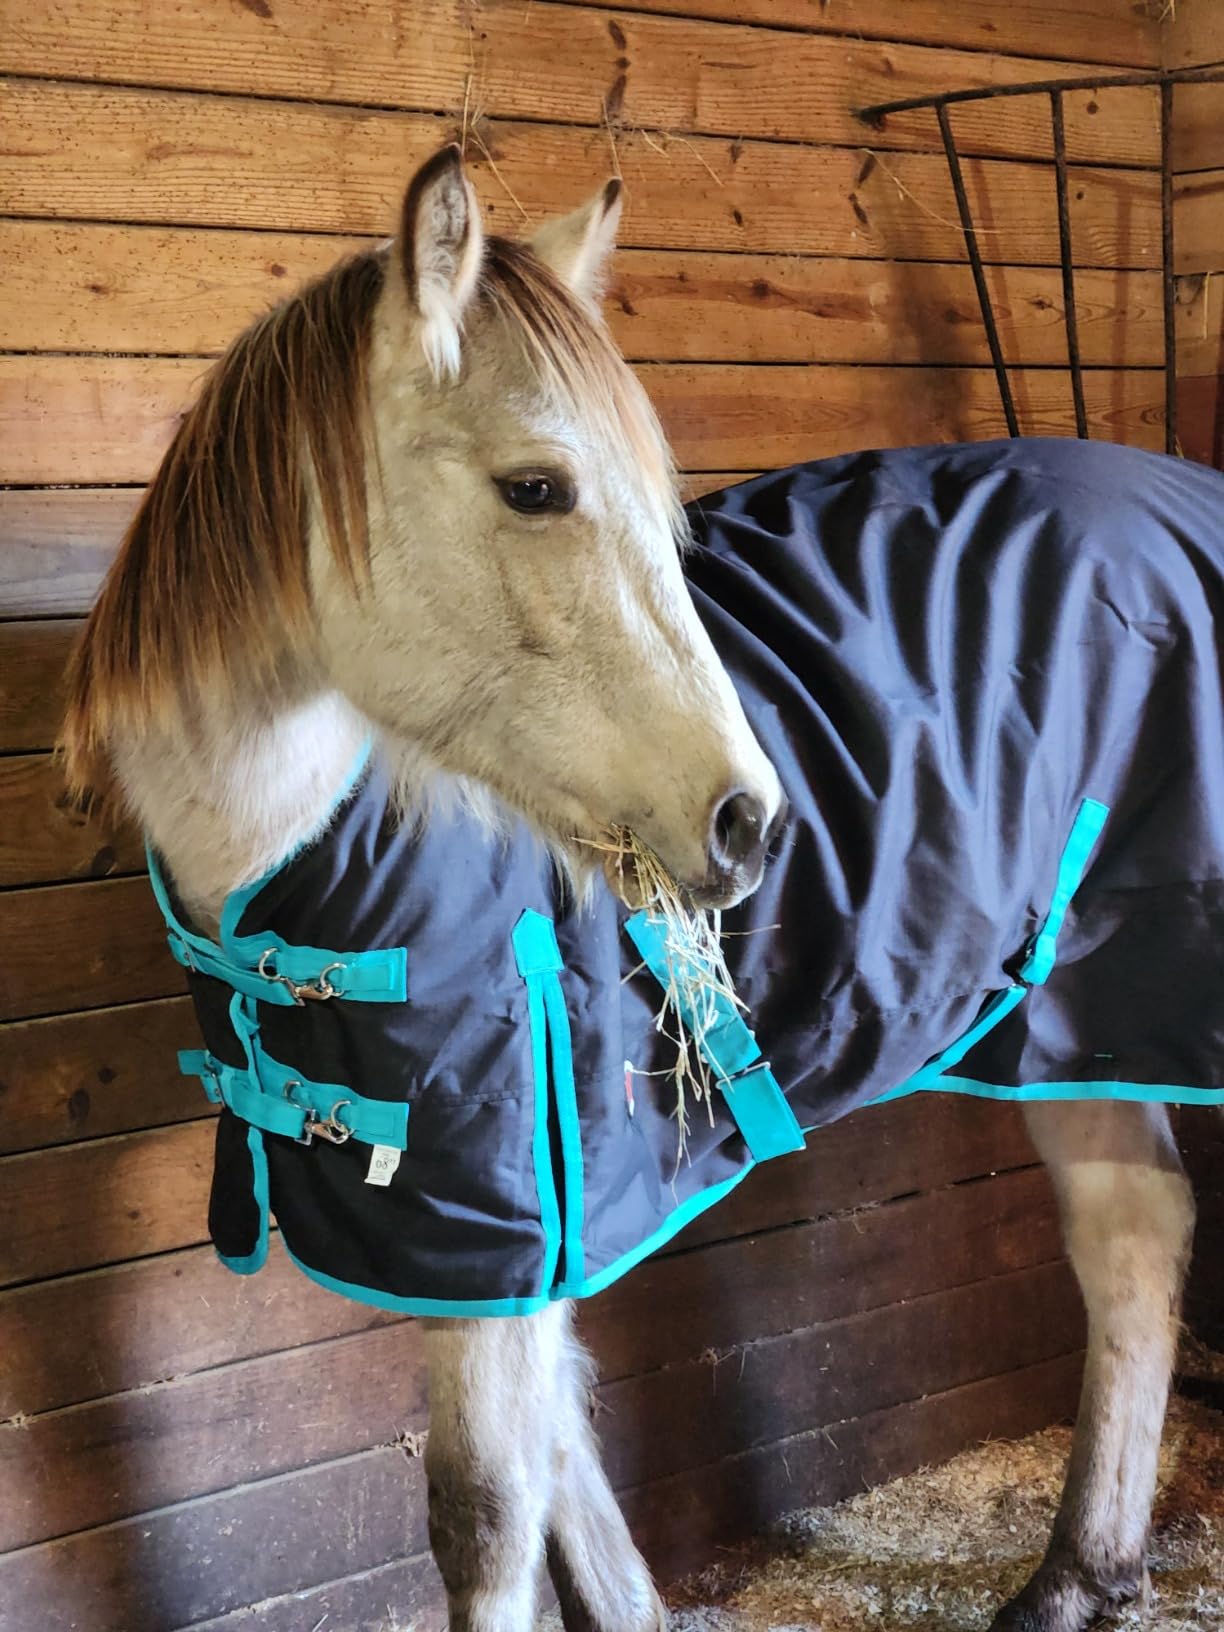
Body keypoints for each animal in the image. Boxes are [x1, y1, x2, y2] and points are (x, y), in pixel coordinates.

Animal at [61, 143, 1216, 1632]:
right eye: (537, 488)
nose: (751, 821)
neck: (296, 872)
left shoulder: (507, 1200)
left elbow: (489, 1511)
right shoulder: (466, 1225)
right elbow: (559, 1443)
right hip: (1067, 1022)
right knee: (1135, 1232)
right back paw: (1081, 1573)